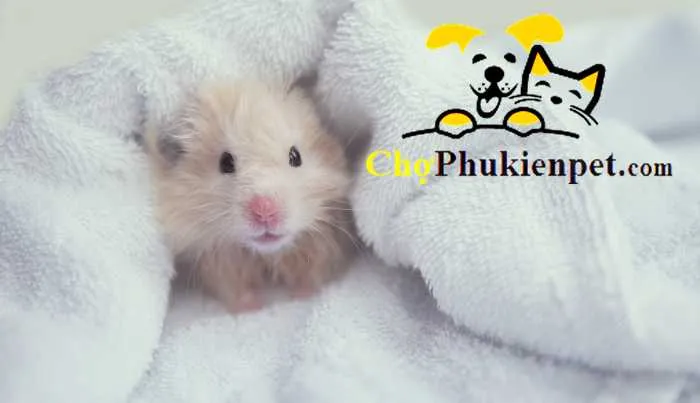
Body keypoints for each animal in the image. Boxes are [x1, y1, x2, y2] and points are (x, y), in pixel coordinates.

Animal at [144, 78, 357, 314]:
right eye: (225, 163)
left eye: (295, 156)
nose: (264, 211)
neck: (265, 254)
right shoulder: (219, 261)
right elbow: (233, 288)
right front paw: (252, 308)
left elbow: (313, 274)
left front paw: (301, 296)